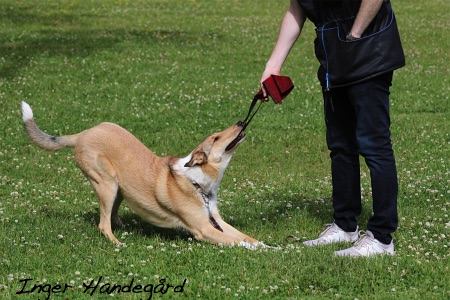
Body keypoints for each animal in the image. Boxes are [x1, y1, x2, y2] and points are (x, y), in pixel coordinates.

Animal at [22, 102, 260, 247]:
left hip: (119, 188)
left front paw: (266, 246)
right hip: (106, 183)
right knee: (103, 224)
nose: (241, 122)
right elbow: (239, 242)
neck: (198, 181)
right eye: (216, 138)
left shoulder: (215, 219)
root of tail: (83, 133)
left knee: (112, 213)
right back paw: (117, 242)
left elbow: (247, 237)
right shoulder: (202, 228)